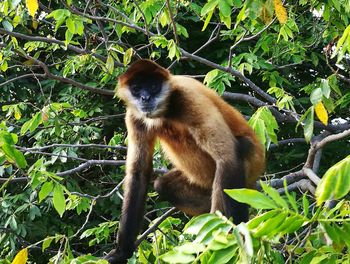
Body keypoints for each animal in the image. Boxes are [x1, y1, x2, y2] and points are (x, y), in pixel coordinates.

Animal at [105, 59, 264, 264]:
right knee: (162, 185)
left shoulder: (188, 97)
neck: (165, 111)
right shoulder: (134, 116)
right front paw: (122, 252)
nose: (145, 98)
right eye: (137, 88)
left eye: (154, 86)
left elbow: (227, 158)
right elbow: (138, 173)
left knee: (241, 148)